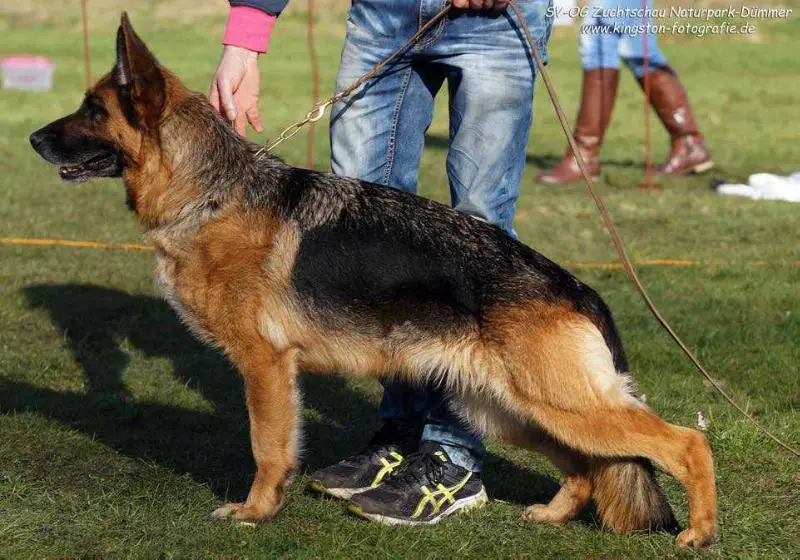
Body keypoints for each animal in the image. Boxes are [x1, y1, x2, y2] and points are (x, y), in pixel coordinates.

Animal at [29, 15, 720, 548]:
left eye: (92, 110)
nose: (32, 136)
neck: (211, 194)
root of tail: (573, 285)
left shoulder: (264, 366)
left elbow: (266, 447)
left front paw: (255, 511)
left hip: (560, 405)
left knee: (686, 443)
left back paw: (700, 531)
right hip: (510, 408)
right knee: (584, 467)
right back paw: (552, 515)